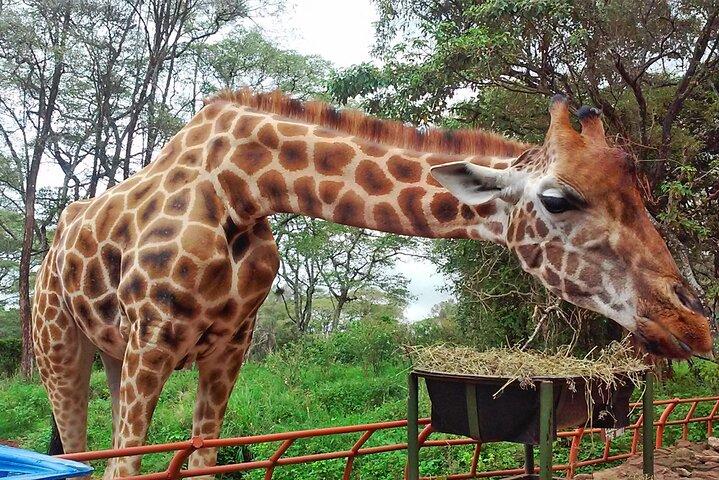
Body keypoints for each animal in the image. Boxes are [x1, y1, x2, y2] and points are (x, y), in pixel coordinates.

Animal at [32, 90, 714, 477]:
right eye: (557, 199)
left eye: (641, 190)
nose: (692, 321)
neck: (244, 186)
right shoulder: (154, 339)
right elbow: (125, 467)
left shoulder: (229, 348)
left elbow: (199, 462)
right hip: (62, 347)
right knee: (73, 449)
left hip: (116, 354)